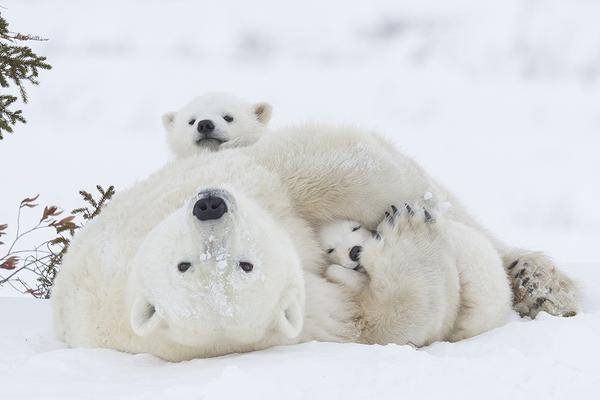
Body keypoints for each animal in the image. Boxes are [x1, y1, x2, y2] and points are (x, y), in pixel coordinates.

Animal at [54, 124, 580, 360]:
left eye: (241, 262)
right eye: (187, 266)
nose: (210, 205)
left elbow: (321, 168)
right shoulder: (308, 318)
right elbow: (385, 322)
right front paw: (407, 231)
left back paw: (539, 282)